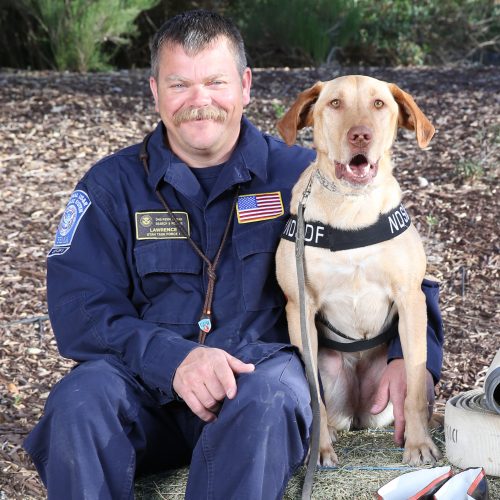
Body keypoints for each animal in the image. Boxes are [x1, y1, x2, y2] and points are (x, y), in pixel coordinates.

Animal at [278, 76, 442, 466]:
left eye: (379, 104)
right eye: (335, 103)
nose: (360, 135)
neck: (352, 206)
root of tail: (358, 413)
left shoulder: (411, 300)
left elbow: (413, 388)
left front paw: (418, 444)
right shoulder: (299, 307)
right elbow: (313, 398)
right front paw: (320, 449)